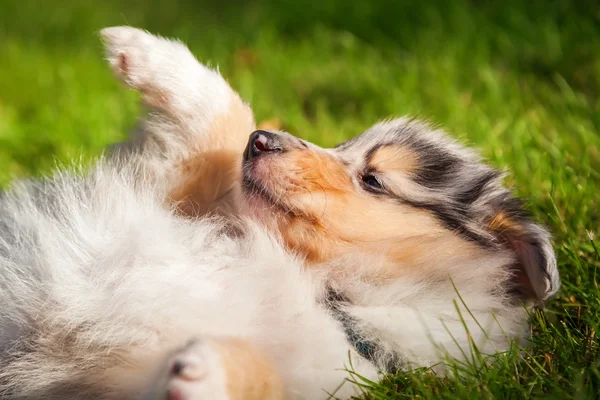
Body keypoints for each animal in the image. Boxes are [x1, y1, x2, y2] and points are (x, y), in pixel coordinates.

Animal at [0, 26, 560, 398]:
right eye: (343, 145)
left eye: (373, 179)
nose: (262, 141)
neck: (326, 294)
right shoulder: (172, 196)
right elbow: (219, 129)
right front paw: (141, 48)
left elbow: (257, 374)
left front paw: (202, 370)